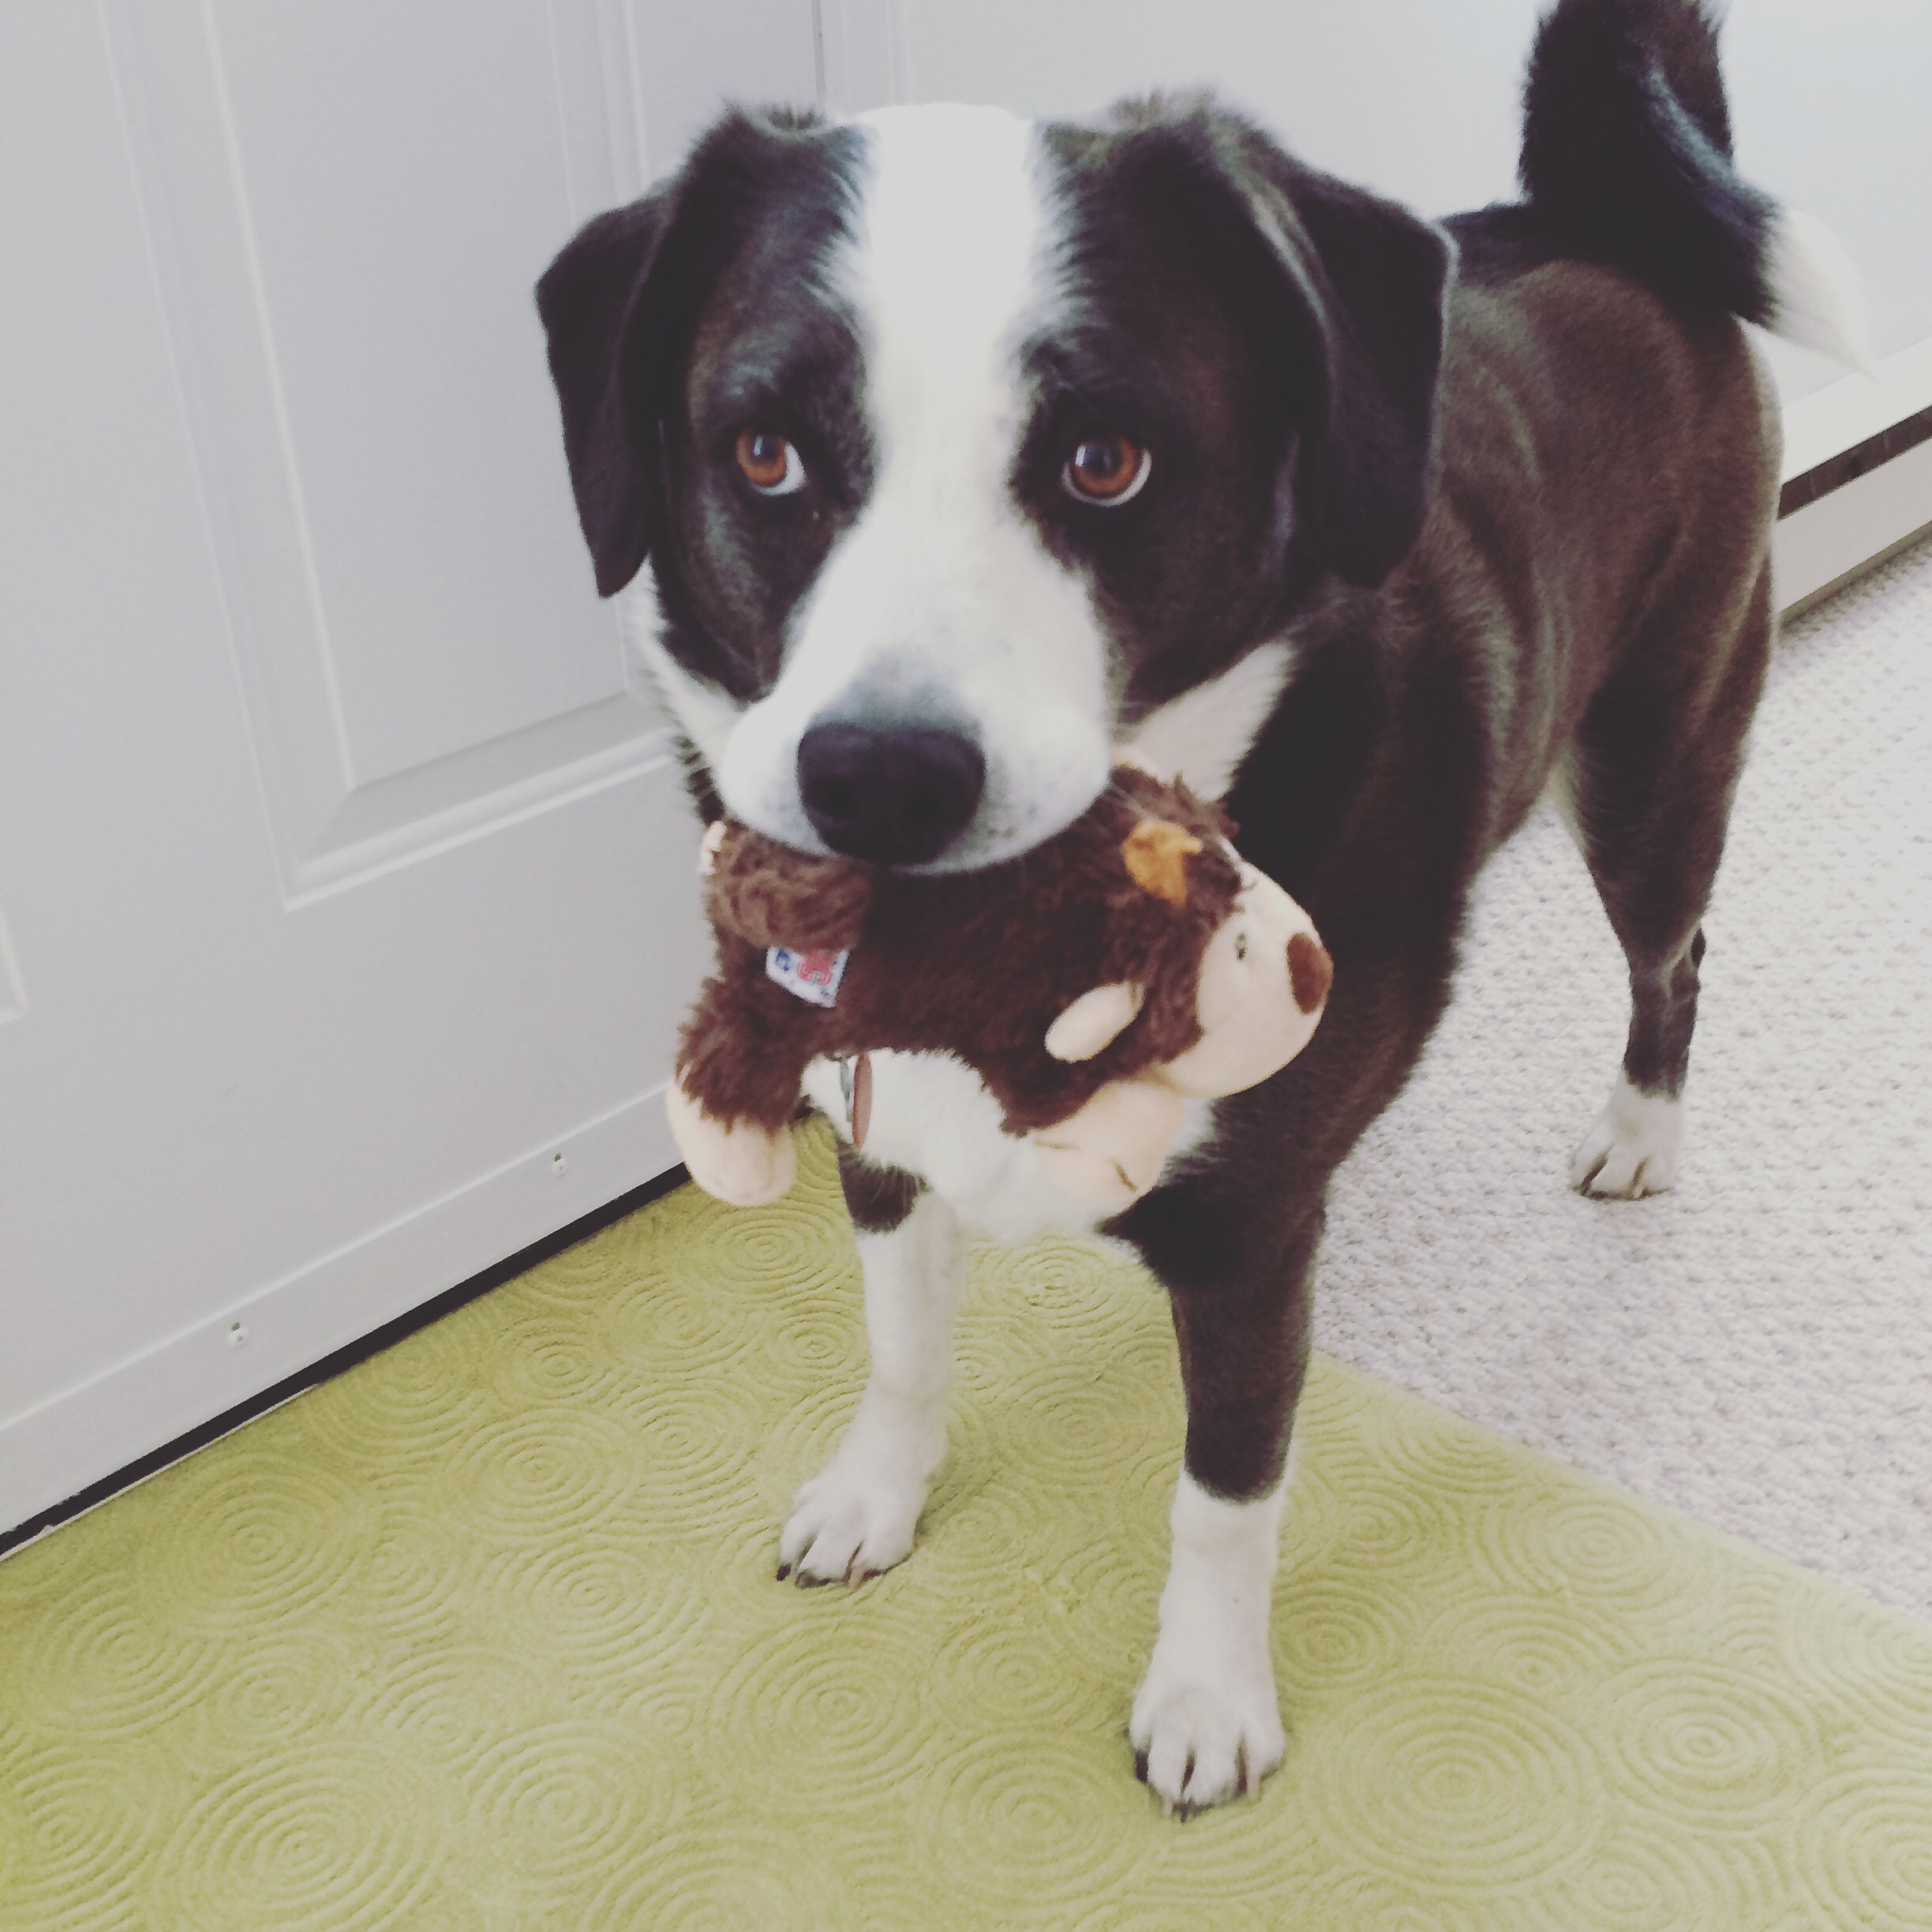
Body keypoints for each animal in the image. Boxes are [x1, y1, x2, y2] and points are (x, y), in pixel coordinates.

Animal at [541, 0, 1855, 1808]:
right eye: (764, 453)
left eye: (1106, 462)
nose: (879, 780)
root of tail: (1594, 213)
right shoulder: (878, 1129)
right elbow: (900, 1342)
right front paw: (875, 1497)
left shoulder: (1245, 1244)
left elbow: (1228, 1488)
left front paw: (1208, 1697)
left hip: (1658, 763)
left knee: (1676, 955)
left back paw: (1640, 1131)